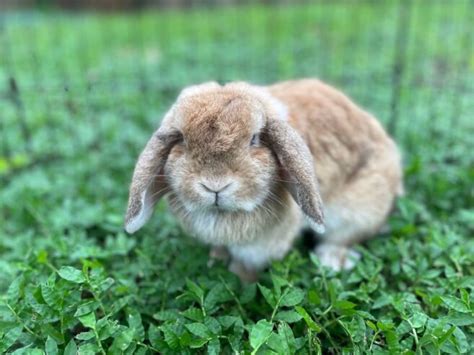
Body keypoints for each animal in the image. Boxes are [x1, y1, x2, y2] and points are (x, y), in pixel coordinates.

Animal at [124, 79, 402, 282]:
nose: (215, 185)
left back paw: (333, 261)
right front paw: (214, 262)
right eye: (181, 139)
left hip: (359, 211)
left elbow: (246, 266)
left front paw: (238, 280)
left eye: (255, 139)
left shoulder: (259, 247)